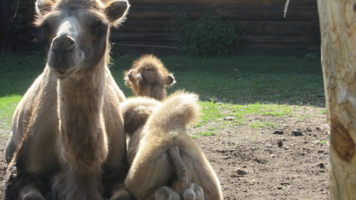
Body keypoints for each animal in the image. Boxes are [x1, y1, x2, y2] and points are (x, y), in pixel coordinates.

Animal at [4, 0, 132, 200]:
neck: (80, 168)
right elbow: (32, 195)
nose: (61, 46)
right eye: (45, 26)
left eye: (100, 26)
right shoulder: (21, 171)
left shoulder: (118, 170)